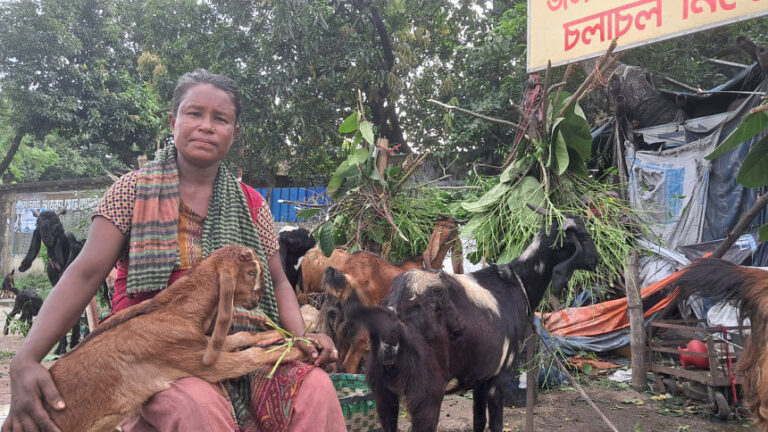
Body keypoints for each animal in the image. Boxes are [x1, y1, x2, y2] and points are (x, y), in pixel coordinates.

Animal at [17, 208, 87, 354]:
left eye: (56, 223)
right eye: (38, 224)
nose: (47, 238)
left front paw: (72, 343)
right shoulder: (55, 284)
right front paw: (61, 347)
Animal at [45, 246, 306, 432]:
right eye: (251, 272)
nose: (258, 299)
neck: (175, 312)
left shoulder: (202, 343)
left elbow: (241, 336)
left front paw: (280, 335)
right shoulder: (199, 362)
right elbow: (252, 356)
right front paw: (297, 350)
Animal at [350, 213, 600, 432]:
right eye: (584, 236)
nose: (595, 260)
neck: (516, 282)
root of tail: (398, 306)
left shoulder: (481, 377)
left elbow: (479, 421)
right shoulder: (499, 375)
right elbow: (496, 424)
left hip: (383, 393)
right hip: (426, 395)